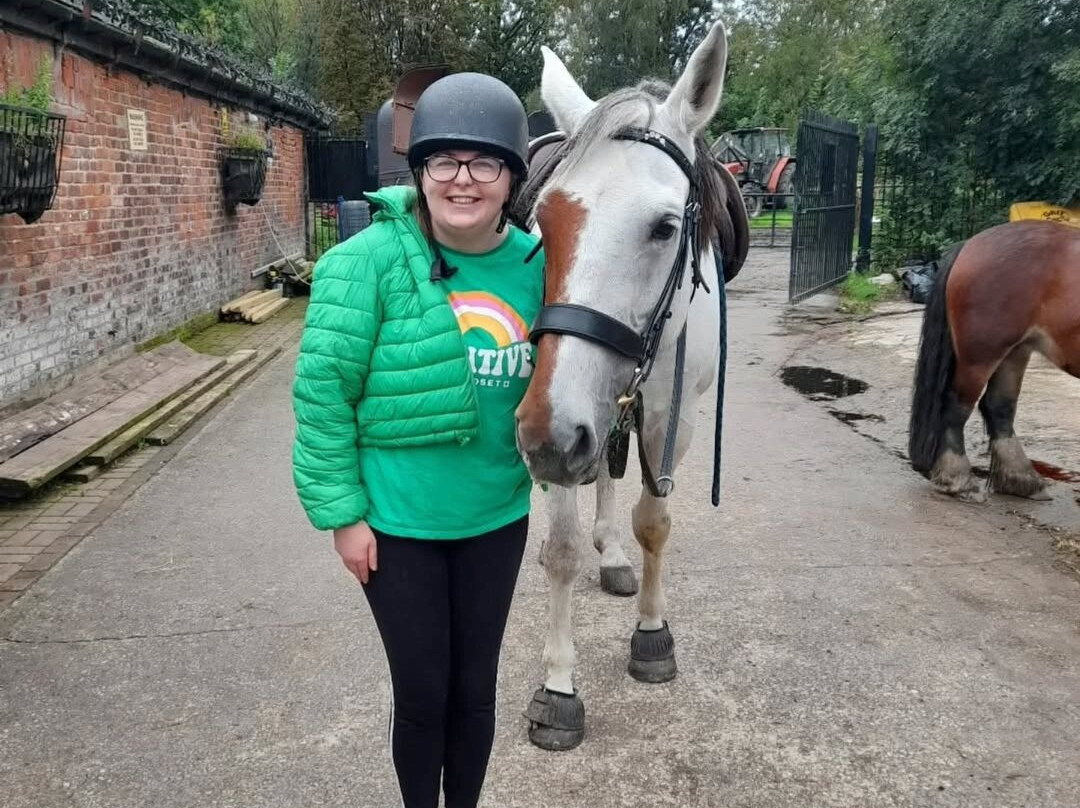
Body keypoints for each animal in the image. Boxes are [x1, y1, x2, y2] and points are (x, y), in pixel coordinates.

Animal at [511, 20, 747, 751]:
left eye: (666, 227)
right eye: (542, 222)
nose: (548, 438)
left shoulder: (674, 415)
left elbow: (655, 523)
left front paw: (651, 632)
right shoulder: (562, 422)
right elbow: (560, 547)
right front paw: (560, 684)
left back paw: (615, 555)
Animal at [911, 221, 1080, 499]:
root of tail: (969, 245)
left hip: (1015, 352)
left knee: (999, 406)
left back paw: (1020, 478)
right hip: (981, 355)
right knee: (956, 405)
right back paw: (956, 477)